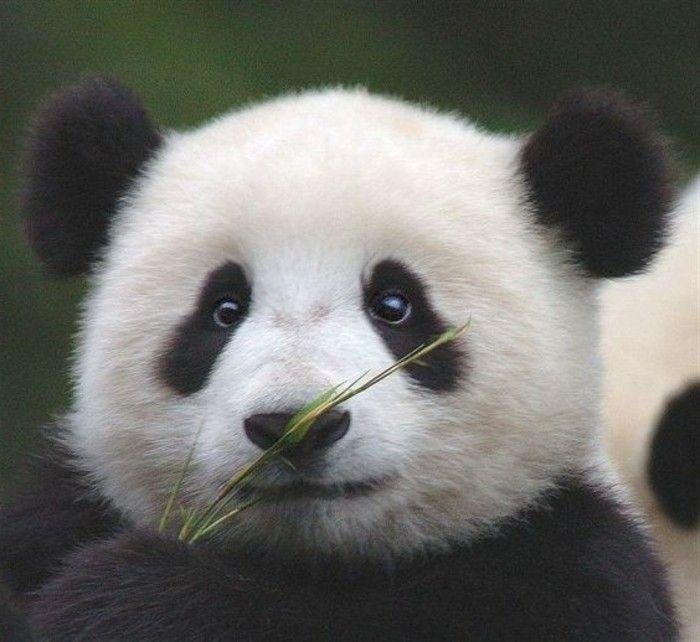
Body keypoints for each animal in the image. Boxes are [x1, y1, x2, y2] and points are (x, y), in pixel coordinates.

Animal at [0, 78, 679, 640]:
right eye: (224, 309)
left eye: (395, 305)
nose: (293, 427)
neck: (319, 566)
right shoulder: (58, 517)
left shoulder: (569, 566)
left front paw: (130, 598)